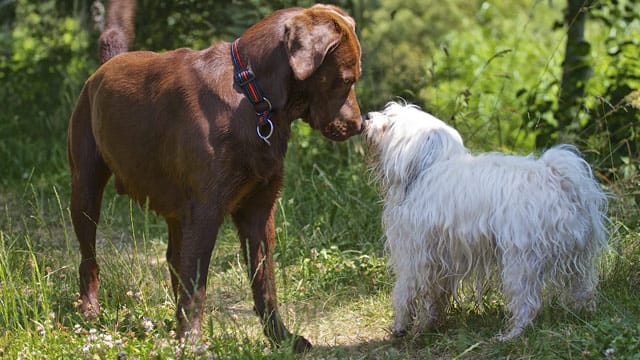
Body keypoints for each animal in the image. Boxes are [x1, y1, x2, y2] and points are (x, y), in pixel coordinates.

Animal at [69, 2, 362, 352]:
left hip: (176, 211)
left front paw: (282, 337)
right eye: (346, 80)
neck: (253, 96)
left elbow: (265, 283)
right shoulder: (207, 210)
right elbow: (197, 283)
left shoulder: (259, 210)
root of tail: (106, 65)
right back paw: (89, 311)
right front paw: (191, 342)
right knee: (89, 258)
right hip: (85, 186)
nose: (359, 126)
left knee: (174, 259)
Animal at [362, 102, 608, 340]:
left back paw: (511, 335)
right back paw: (581, 315)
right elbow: (434, 296)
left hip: (521, 260)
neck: (427, 167)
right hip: (577, 258)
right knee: (582, 288)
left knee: (526, 303)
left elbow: (405, 291)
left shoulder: (414, 255)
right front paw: (428, 324)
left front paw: (401, 327)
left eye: (389, 122)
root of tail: (558, 178)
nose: (366, 116)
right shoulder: (440, 260)